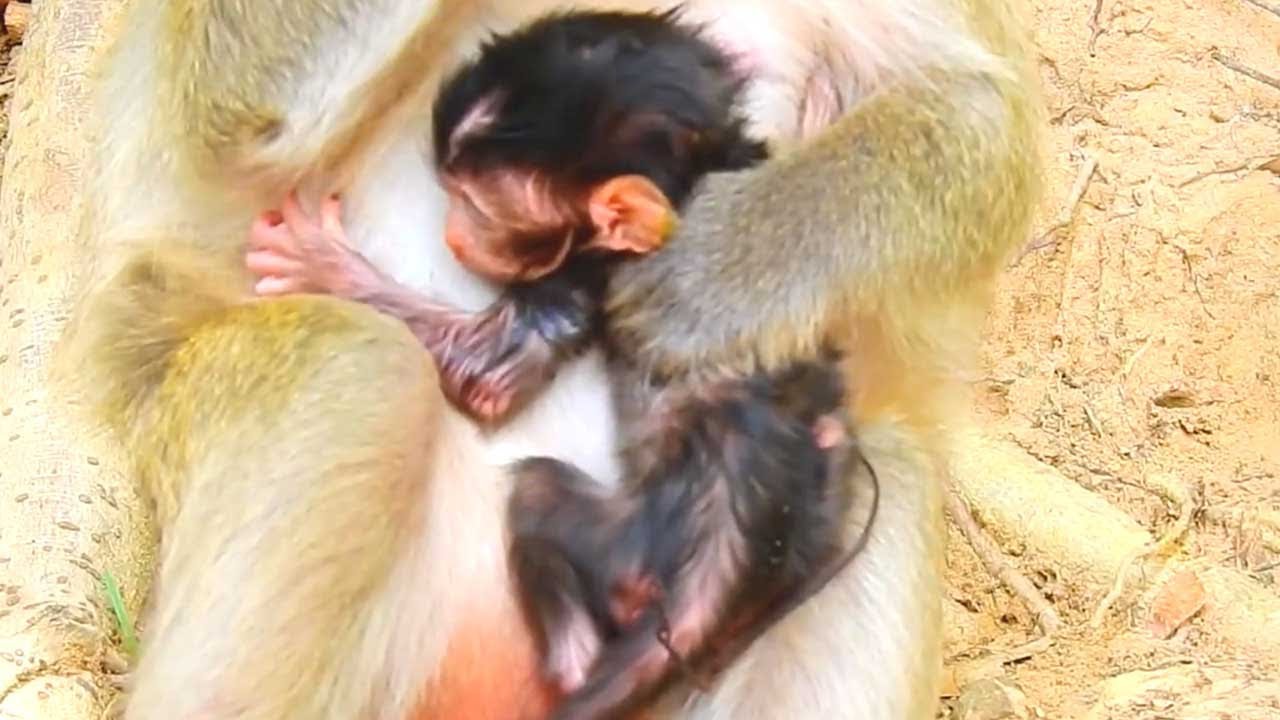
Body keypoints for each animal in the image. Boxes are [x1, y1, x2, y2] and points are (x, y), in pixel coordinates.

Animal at [56, 0, 1042, 718]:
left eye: (485, 208)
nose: (465, 234)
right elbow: (236, 104)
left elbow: (979, 109)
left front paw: (715, 273)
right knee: (347, 368)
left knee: (890, 466)